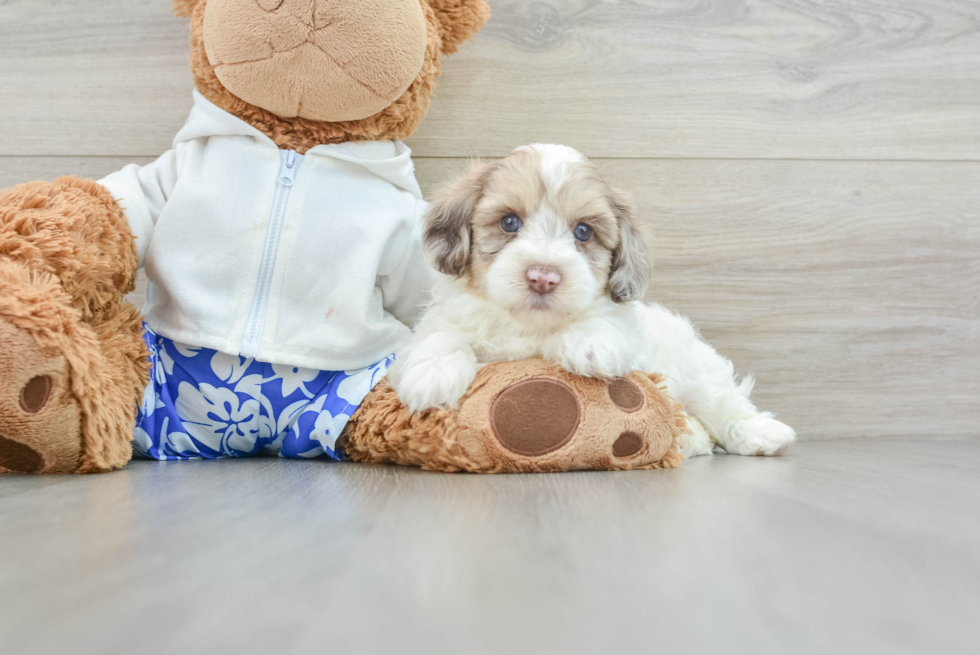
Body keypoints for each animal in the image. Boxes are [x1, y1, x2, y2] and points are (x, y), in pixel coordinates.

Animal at [390, 144, 796, 456]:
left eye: (583, 231)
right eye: (509, 223)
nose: (543, 276)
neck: (530, 326)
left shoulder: (629, 332)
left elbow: (606, 324)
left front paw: (587, 344)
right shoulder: (443, 320)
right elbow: (440, 334)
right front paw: (432, 374)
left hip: (694, 365)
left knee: (722, 402)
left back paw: (759, 434)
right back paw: (687, 440)